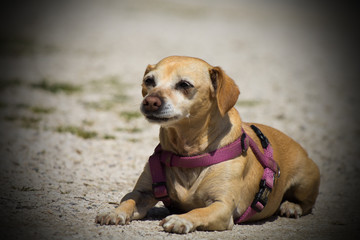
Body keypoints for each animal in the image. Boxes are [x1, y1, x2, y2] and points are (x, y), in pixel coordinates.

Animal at [95, 55, 320, 232]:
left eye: (184, 85)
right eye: (149, 81)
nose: (150, 101)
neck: (187, 152)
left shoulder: (222, 206)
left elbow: (199, 211)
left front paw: (181, 219)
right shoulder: (142, 193)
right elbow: (128, 200)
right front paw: (113, 212)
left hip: (304, 181)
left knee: (308, 203)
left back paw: (291, 206)